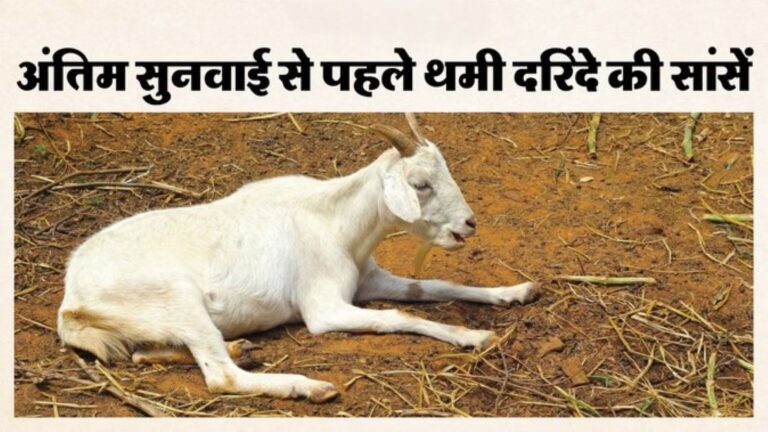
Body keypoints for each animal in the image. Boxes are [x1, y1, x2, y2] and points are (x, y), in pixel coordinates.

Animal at [57, 114, 539, 403]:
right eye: (420, 184)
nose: (468, 224)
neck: (335, 223)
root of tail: (71, 300)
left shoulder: (368, 279)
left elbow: (433, 286)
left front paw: (515, 292)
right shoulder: (323, 308)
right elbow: (396, 317)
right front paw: (473, 336)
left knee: (146, 354)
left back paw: (241, 346)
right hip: (175, 297)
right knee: (221, 377)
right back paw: (308, 386)